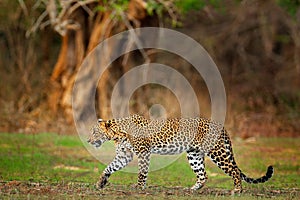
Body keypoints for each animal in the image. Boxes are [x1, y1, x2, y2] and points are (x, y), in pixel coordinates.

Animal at [87, 114, 274, 194]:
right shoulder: (124, 155)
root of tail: (220, 127)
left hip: (217, 152)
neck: (118, 132)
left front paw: (139, 187)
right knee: (203, 175)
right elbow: (110, 167)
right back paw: (192, 189)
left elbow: (142, 172)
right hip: (194, 154)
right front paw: (100, 183)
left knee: (234, 170)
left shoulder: (143, 152)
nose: (88, 140)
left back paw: (237, 190)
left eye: (95, 132)